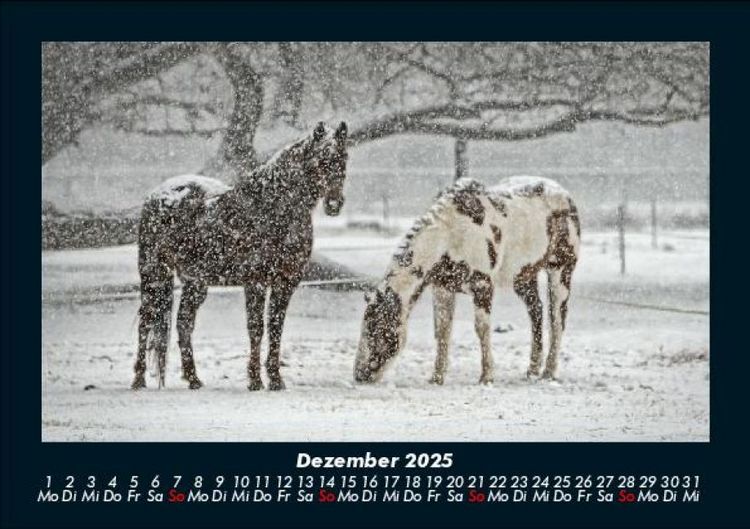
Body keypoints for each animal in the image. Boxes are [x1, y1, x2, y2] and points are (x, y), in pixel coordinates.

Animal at [131, 121, 349, 391]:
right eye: (320, 159)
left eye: (344, 157)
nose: (334, 204)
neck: (273, 209)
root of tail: (158, 194)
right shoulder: (255, 282)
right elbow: (256, 328)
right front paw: (255, 380)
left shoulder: (285, 283)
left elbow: (276, 328)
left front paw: (276, 379)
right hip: (154, 273)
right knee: (146, 321)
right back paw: (139, 379)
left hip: (195, 283)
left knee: (184, 323)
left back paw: (194, 379)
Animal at [354, 176, 580, 385]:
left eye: (377, 329)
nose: (359, 375)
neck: (450, 235)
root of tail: (565, 195)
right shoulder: (443, 288)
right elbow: (442, 330)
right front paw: (437, 377)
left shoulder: (482, 286)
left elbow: (481, 329)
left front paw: (487, 377)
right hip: (523, 277)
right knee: (536, 312)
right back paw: (532, 370)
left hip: (560, 271)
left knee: (557, 319)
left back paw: (548, 372)